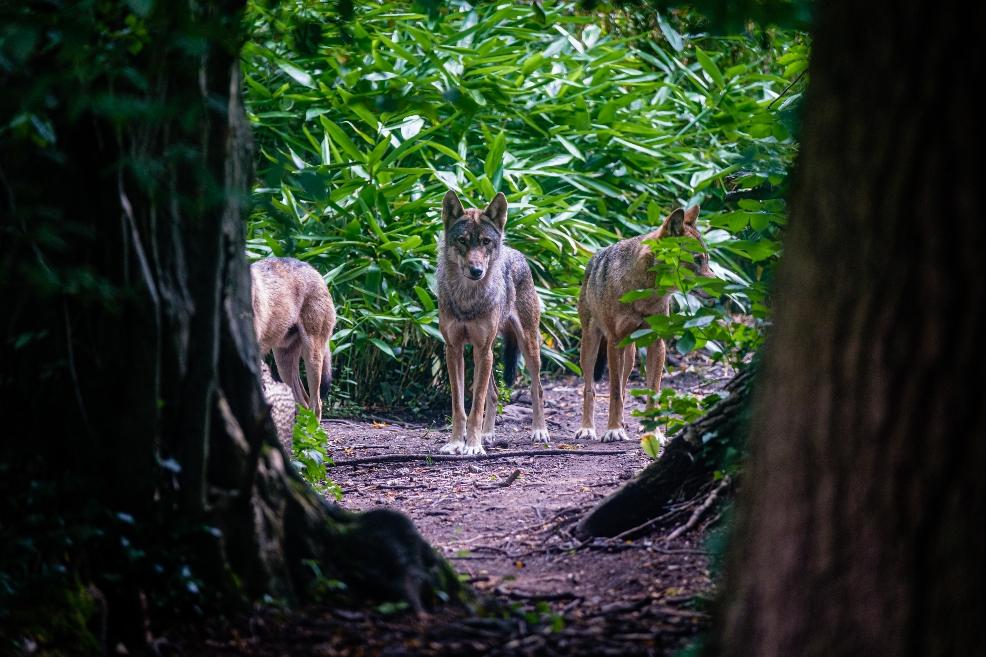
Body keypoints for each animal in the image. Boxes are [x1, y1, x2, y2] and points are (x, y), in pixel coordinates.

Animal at [436, 190, 549, 456]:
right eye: (463, 241)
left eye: (486, 242)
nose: (476, 270)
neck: (467, 298)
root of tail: (514, 251)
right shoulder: (454, 349)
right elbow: (459, 406)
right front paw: (456, 442)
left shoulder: (482, 348)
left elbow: (476, 405)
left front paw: (472, 446)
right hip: (482, 355)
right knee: (495, 394)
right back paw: (488, 435)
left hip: (526, 346)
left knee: (537, 389)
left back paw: (539, 431)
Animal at [575, 205, 711, 444]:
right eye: (696, 259)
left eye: (708, 260)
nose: (719, 286)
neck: (644, 292)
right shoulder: (615, 342)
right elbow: (613, 393)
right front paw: (613, 430)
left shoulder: (657, 343)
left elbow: (652, 392)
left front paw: (653, 434)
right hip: (590, 346)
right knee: (590, 389)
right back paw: (587, 429)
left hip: (630, 356)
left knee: (624, 386)